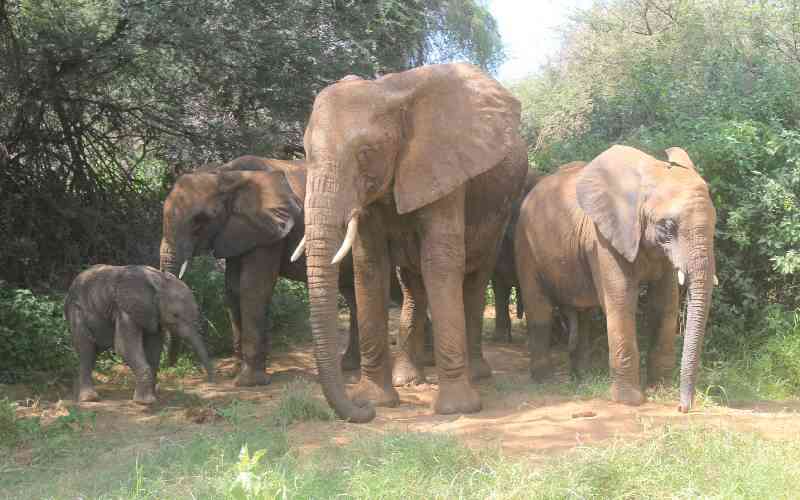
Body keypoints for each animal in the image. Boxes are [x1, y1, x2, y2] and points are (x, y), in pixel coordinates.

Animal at [64, 265, 214, 404]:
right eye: (175, 315)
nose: (211, 382)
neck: (158, 280)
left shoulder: (153, 314)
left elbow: (154, 348)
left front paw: (152, 396)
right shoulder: (125, 310)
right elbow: (124, 347)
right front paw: (145, 401)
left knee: (94, 350)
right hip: (76, 311)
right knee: (86, 349)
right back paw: (89, 398)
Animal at [159, 156, 366, 386]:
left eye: (199, 222)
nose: (170, 365)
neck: (226, 174)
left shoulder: (269, 231)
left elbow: (253, 289)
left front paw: (248, 383)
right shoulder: (239, 230)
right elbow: (232, 290)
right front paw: (235, 373)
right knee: (354, 294)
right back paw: (349, 366)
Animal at [296, 62, 528, 422]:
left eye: (365, 153)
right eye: (305, 153)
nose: (361, 411)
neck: (391, 93)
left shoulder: (446, 166)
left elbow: (440, 261)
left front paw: (457, 409)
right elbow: (370, 265)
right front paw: (376, 400)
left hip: (501, 211)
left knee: (474, 283)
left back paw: (476, 375)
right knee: (412, 289)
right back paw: (408, 380)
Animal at [515, 146, 716, 412]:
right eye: (667, 226)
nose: (683, 408)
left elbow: (664, 304)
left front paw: (661, 390)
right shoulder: (604, 238)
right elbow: (621, 303)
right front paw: (631, 401)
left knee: (583, 314)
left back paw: (581, 379)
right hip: (525, 245)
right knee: (539, 309)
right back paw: (544, 380)